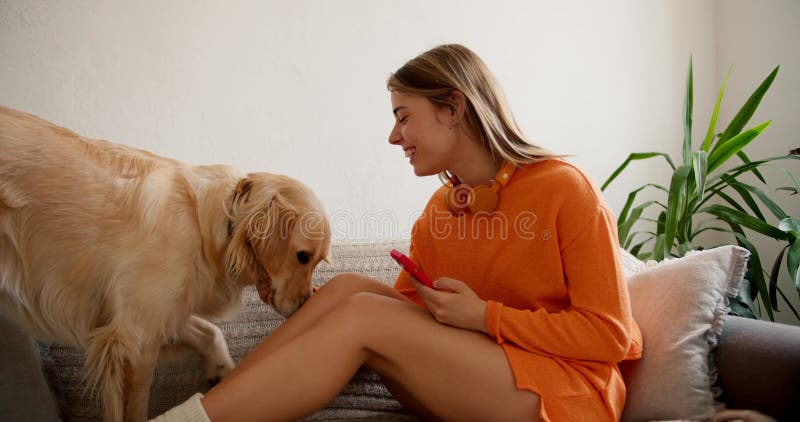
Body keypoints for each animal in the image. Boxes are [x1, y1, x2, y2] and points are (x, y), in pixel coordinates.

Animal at [0, 106, 332, 422]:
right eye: (303, 256)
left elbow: (210, 332)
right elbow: (134, 409)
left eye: (318, 261)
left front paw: (222, 370)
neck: (211, 224)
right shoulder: (134, 336)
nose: (307, 303)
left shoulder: (162, 312)